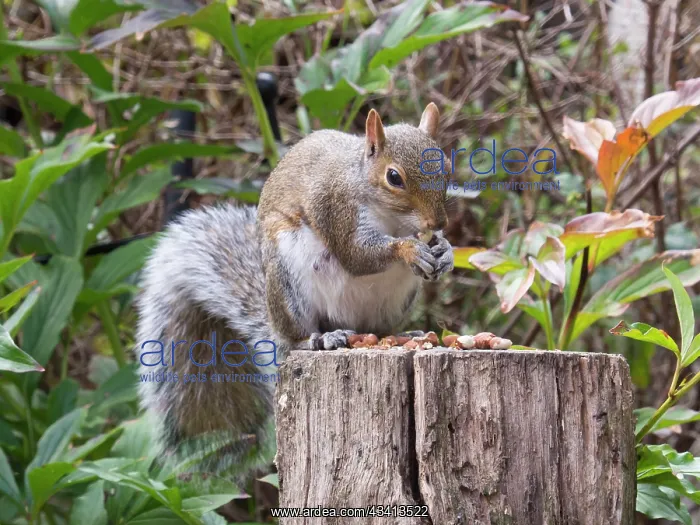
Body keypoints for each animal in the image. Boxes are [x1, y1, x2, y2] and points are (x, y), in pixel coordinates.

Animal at [135, 103, 454, 479]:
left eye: (446, 167)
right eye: (394, 178)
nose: (438, 223)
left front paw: (445, 250)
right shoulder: (335, 208)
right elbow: (357, 255)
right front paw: (408, 250)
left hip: (396, 301)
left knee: (377, 329)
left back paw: (403, 334)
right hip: (290, 286)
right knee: (299, 338)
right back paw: (320, 339)